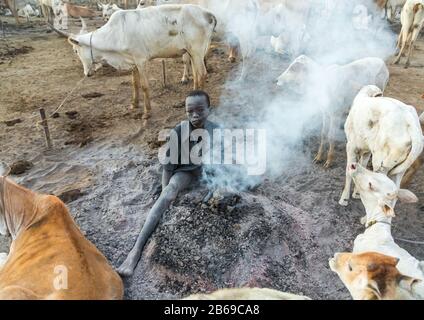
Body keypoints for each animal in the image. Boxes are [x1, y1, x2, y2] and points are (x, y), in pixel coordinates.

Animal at [70, 5, 217, 119]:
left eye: (76, 51)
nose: (87, 73)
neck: (115, 34)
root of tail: (206, 13)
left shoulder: (141, 60)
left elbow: (144, 86)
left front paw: (147, 112)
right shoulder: (133, 61)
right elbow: (134, 83)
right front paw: (134, 104)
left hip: (197, 51)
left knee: (202, 74)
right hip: (192, 53)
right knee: (196, 75)